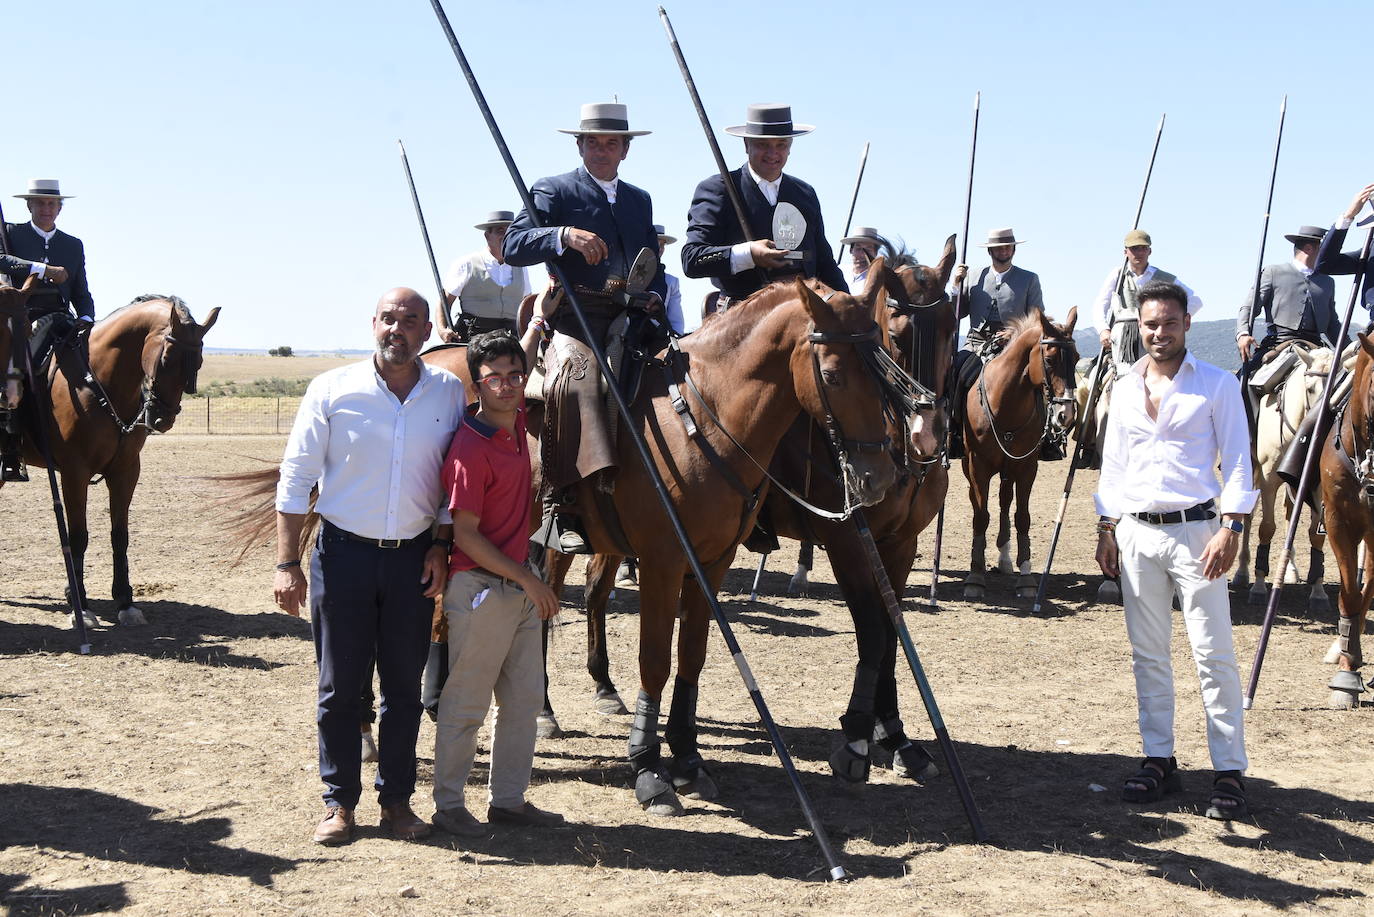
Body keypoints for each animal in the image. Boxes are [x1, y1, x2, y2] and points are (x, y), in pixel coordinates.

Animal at [12, 298, 218, 626]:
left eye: (197, 362)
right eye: (166, 359)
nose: (162, 419)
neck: (98, 382)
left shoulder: (125, 471)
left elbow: (120, 536)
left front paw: (125, 600)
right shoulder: (74, 473)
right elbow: (78, 537)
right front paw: (80, 605)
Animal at [961, 307, 1077, 602]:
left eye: (1077, 358)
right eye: (1049, 359)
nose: (1066, 414)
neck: (1005, 402)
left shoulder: (1026, 467)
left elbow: (1022, 517)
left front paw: (1026, 577)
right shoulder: (979, 465)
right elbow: (981, 516)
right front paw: (975, 576)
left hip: (1008, 468)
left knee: (1004, 501)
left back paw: (1004, 559)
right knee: (981, 503)